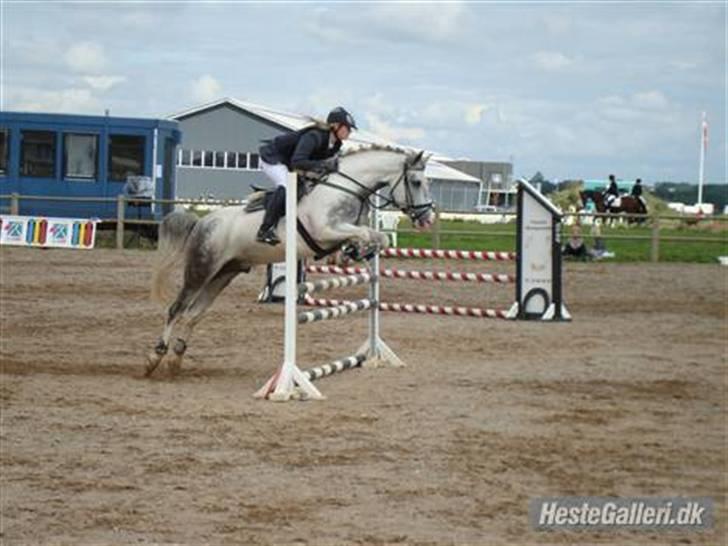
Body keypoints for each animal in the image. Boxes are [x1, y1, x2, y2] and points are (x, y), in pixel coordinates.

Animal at [145, 146, 434, 376]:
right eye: (416, 182)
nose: (427, 218)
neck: (346, 189)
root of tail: (202, 222)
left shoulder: (343, 230)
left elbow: (378, 238)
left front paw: (352, 253)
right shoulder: (325, 231)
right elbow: (364, 234)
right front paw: (354, 251)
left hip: (224, 273)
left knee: (194, 314)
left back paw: (175, 360)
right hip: (202, 268)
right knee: (177, 309)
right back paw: (154, 358)